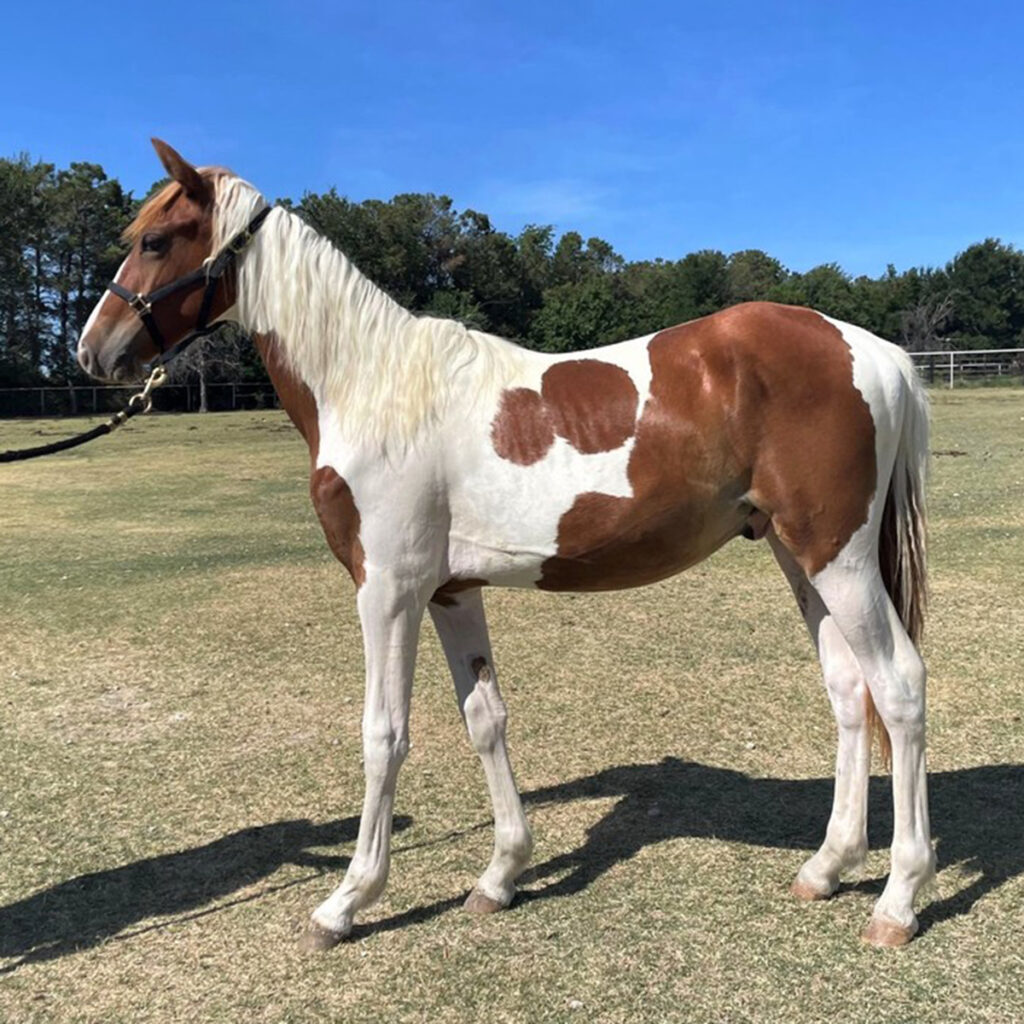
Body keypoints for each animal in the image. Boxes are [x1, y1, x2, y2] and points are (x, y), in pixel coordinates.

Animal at [77, 138, 937, 950]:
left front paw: (346, 902)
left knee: (898, 687)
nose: (92, 350)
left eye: (155, 240)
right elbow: (484, 718)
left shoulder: (386, 591)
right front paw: (500, 875)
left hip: (839, 559)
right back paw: (827, 868)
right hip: (801, 557)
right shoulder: (450, 591)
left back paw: (898, 899)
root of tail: (876, 351)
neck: (372, 387)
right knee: (849, 692)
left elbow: (384, 735)